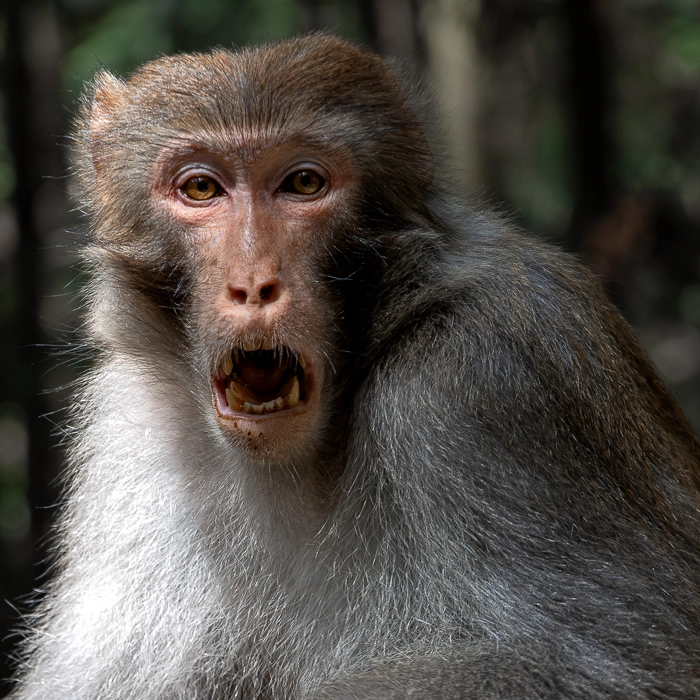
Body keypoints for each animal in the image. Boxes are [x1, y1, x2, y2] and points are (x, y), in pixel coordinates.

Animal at [7, 33, 700, 699]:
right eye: (201, 188)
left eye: (303, 184)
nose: (254, 285)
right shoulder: (132, 426)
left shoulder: (486, 384)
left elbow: (611, 665)